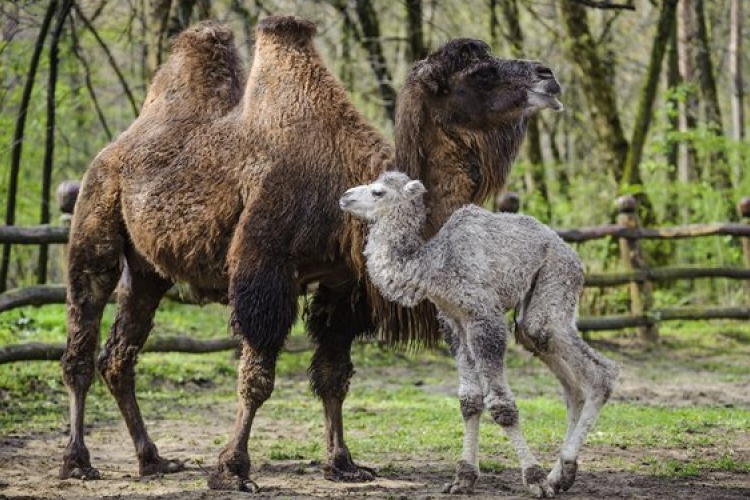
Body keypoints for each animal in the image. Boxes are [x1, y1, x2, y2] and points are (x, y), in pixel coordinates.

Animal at [342, 172, 624, 496]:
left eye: (378, 192)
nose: (345, 196)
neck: (432, 265)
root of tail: (572, 254)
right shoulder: (453, 321)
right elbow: (469, 401)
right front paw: (463, 478)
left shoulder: (484, 316)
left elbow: (502, 406)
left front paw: (534, 478)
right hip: (531, 316)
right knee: (565, 377)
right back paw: (561, 475)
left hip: (555, 279)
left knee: (599, 370)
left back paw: (562, 466)